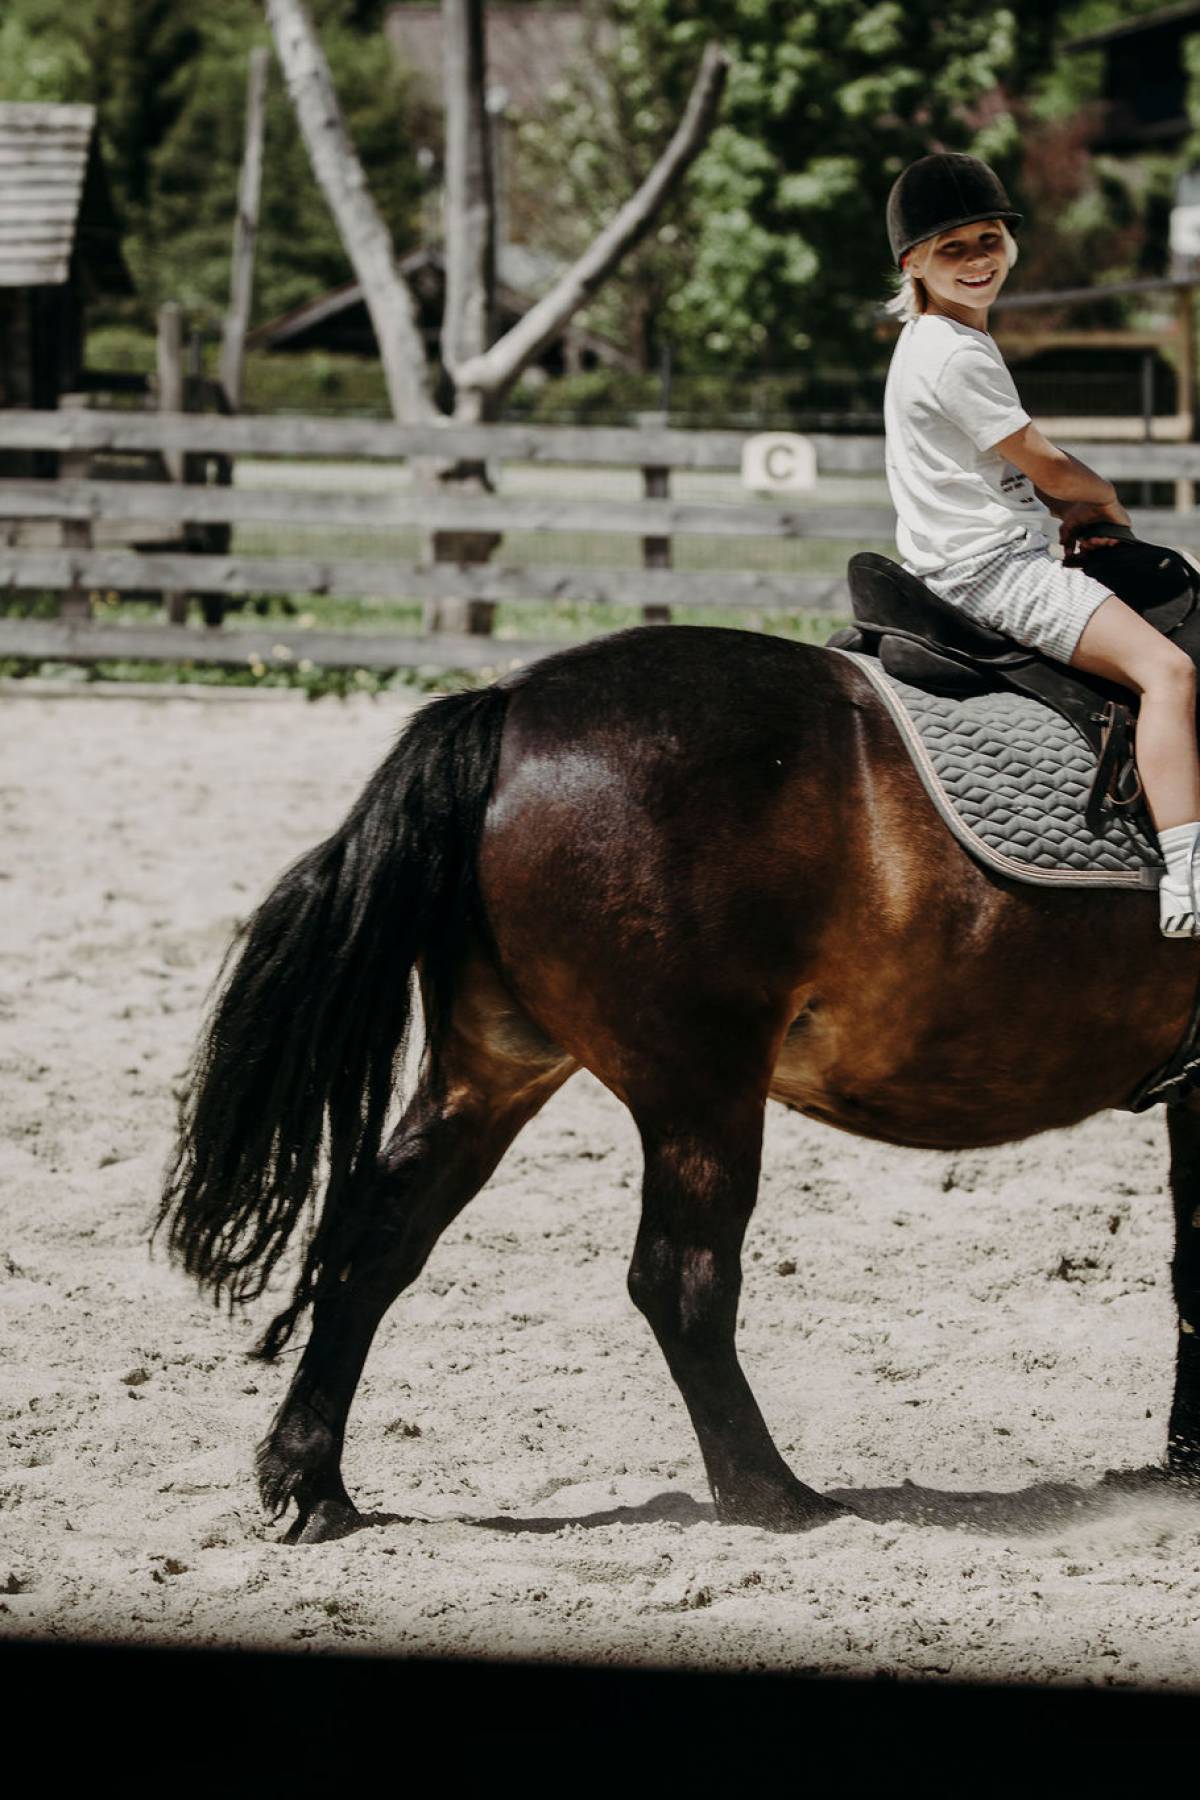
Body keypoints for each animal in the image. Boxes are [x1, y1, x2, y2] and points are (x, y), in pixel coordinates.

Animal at [154, 626, 1200, 1540]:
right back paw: (773, 1495)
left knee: (379, 1238)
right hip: (701, 1084)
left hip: (495, 1067)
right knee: (681, 1280)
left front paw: (1184, 1464)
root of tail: (507, 705)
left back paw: (310, 1479)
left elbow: (1188, 1264)